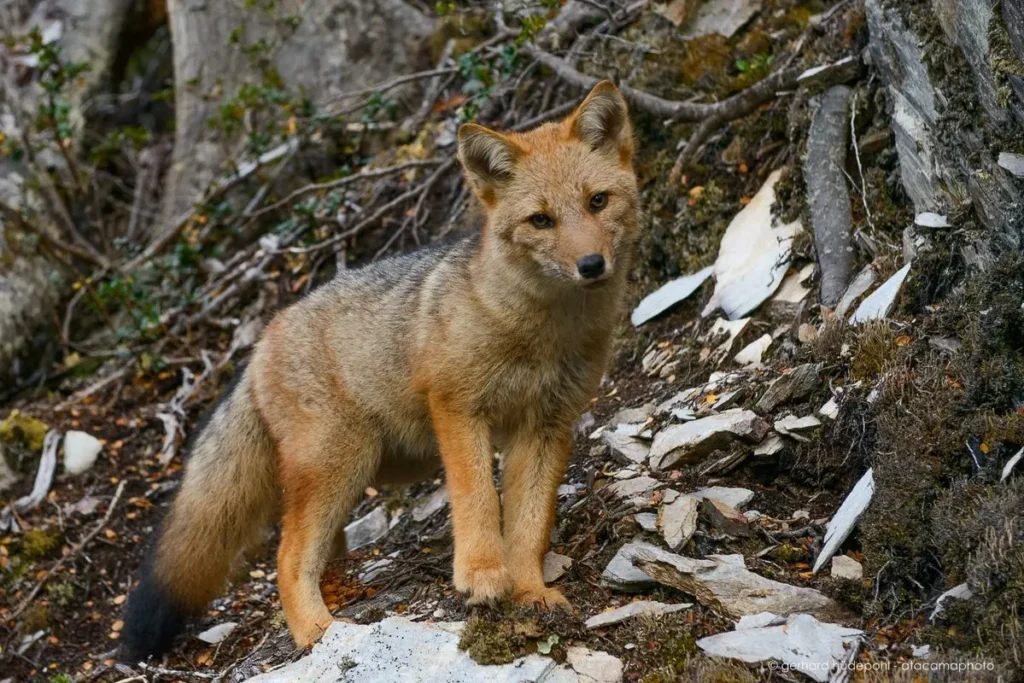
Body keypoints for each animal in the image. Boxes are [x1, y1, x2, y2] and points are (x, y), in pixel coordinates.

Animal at [121, 80, 641, 660]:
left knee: (322, 552)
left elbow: (529, 526)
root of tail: (261, 342)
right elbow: (479, 501)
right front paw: (483, 575)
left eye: (597, 201)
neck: (542, 334)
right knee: (286, 559)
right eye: (542, 220)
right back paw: (318, 633)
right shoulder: (457, 408)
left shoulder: (548, 426)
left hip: (367, 468)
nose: (591, 266)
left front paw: (530, 592)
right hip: (343, 463)